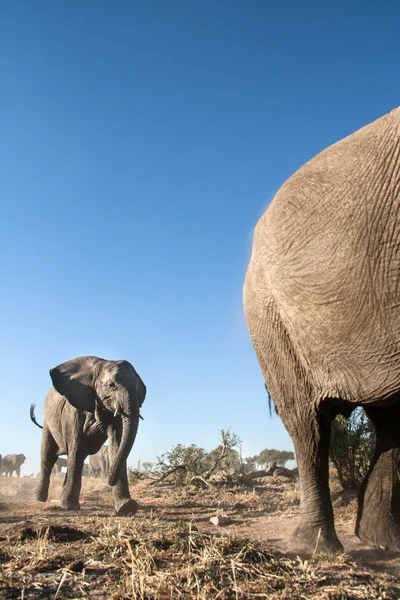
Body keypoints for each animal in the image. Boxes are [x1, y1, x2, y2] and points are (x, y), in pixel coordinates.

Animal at [30, 356, 145, 516]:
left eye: (139, 390)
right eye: (111, 385)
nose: (109, 480)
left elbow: (116, 445)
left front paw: (126, 507)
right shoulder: (73, 412)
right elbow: (77, 447)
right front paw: (68, 507)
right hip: (48, 423)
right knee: (49, 456)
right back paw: (40, 498)